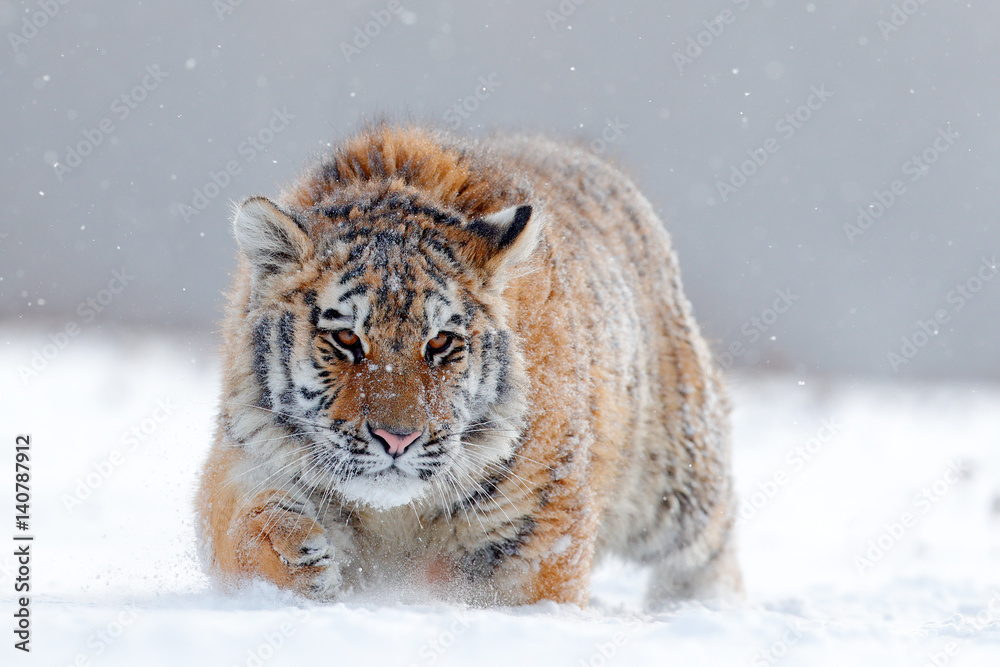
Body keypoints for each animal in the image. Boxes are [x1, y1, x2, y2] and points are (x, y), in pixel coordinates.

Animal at [197, 122, 744, 608]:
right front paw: (298, 556)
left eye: (440, 341)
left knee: (714, 542)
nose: (397, 439)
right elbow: (243, 524)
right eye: (347, 338)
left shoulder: (540, 531)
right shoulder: (246, 455)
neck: (392, 515)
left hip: (676, 478)